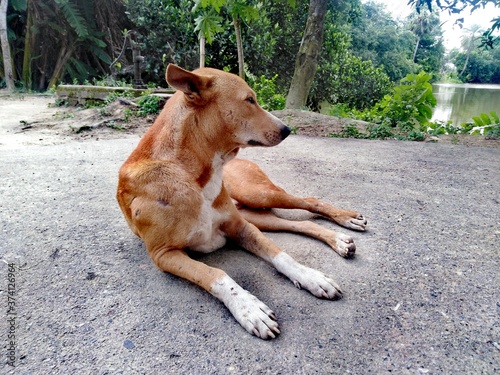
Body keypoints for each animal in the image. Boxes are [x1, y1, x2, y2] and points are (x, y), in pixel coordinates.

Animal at [117, 65, 368, 340]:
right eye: (249, 100)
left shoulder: (241, 228)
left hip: (258, 194)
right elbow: (215, 274)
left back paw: (346, 221)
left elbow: (281, 255)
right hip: (256, 213)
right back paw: (339, 240)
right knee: (300, 224)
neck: (192, 173)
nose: (287, 129)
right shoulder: (163, 254)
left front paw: (310, 276)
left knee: (309, 201)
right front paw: (249, 308)